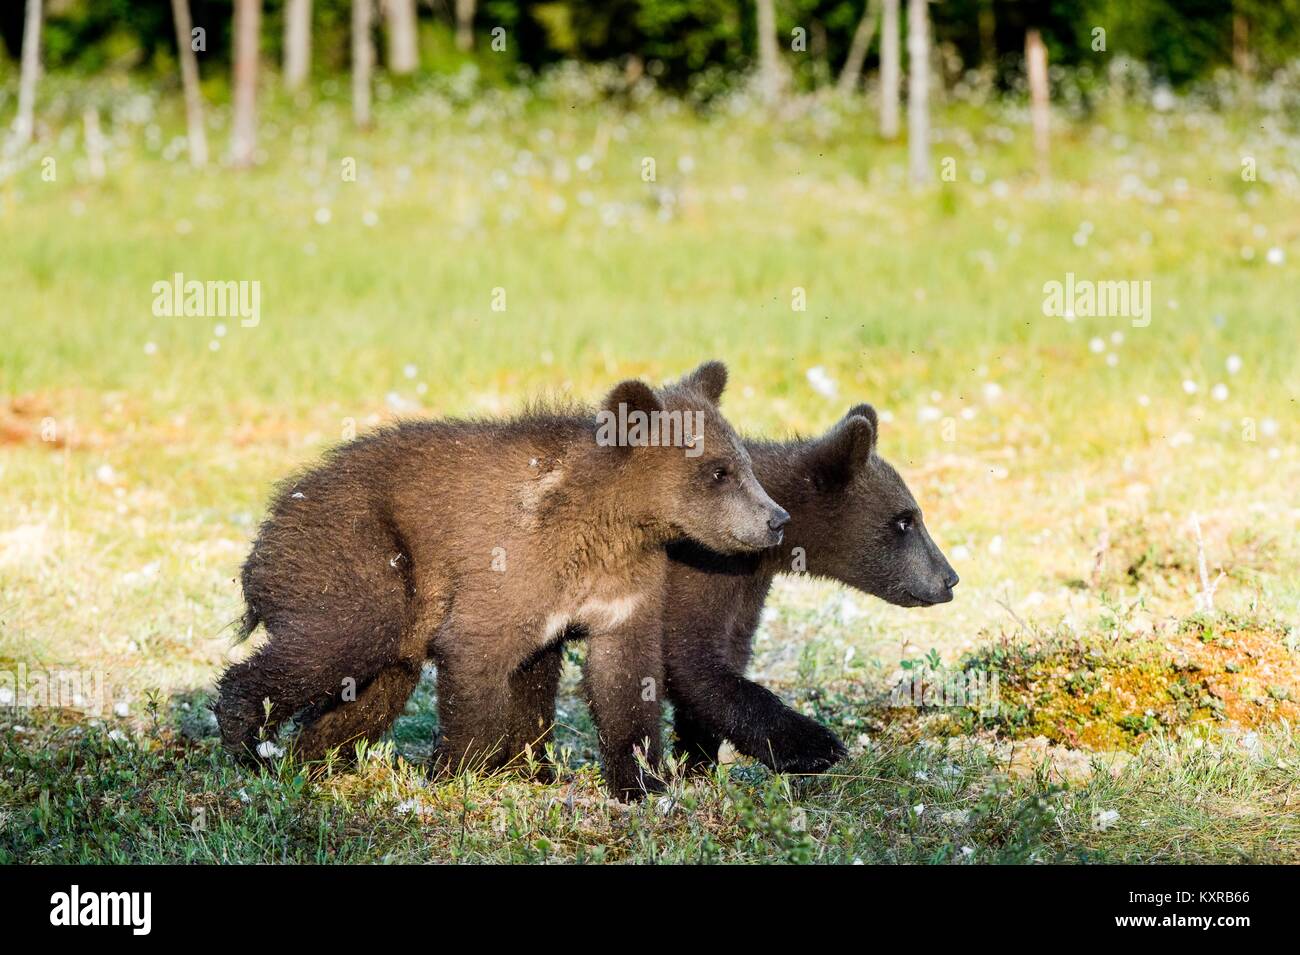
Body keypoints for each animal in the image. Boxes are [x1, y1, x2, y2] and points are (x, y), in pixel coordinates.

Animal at [213, 361, 790, 799]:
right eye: (717, 472)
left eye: (742, 461)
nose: (776, 519)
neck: (610, 523)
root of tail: (270, 522)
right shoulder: (513, 568)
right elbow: (477, 658)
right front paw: (460, 774)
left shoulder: (621, 588)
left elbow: (623, 677)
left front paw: (641, 783)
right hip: (356, 554)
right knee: (341, 635)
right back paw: (249, 743)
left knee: (373, 688)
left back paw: (311, 758)